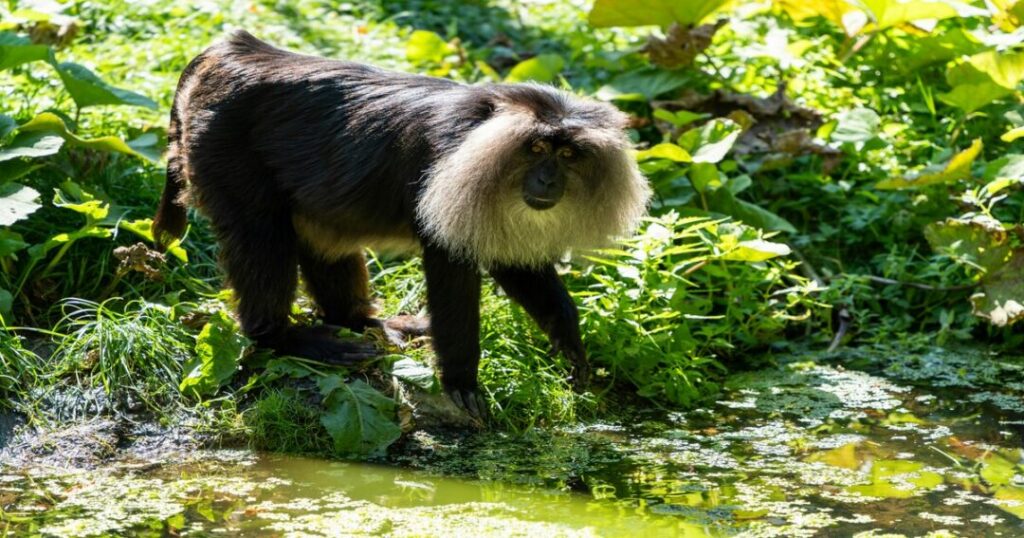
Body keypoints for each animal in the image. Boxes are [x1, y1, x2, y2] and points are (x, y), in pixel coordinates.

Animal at [152, 31, 651, 419]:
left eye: (567, 154)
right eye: (537, 148)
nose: (549, 180)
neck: (485, 126)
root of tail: (232, 52)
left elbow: (515, 266)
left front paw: (573, 349)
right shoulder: (450, 166)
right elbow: (450, 270)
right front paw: (462, 381)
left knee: (320, 237)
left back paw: (359, 322)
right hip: (222, 148)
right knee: (261, 238)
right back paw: (282, 336)